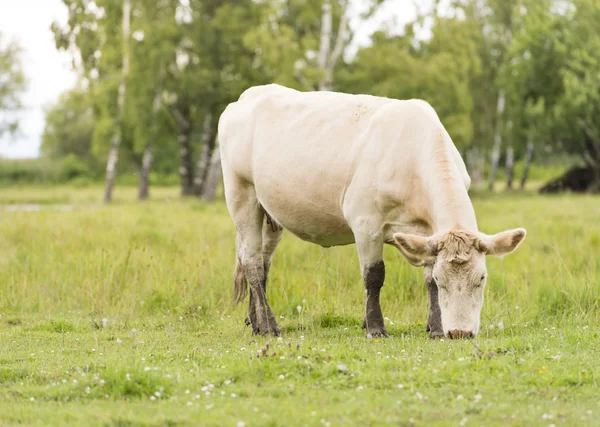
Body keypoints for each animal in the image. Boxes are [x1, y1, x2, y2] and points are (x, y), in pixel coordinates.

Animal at [217, 84, 524, 342]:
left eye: (481, 278)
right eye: (443, 279)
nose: (460, 332)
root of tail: (248, 95)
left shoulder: (427, 233)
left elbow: (425, 281)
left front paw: (435, 327)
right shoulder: (366, 222)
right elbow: (374, 276)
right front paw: (375, 327)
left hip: (270, 214)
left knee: (261, 262)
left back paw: (255, 322)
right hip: (242, 195)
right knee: (252, 262)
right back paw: (269, 326)